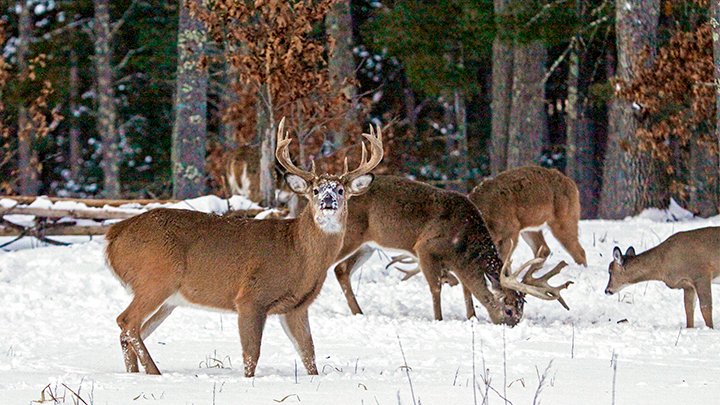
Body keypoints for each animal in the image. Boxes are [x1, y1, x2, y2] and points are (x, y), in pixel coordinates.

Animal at [104, 118, 382, 378]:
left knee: (131, 331)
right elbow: (252, 356)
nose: (327, 201)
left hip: (168, 298)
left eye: (340, 189)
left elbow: (308, 355)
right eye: (315, 190)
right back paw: (155, 373)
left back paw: (135, 374)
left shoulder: (296, 307)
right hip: (155, 278)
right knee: (126, 321)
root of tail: (113, 236)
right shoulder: (251, 298)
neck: (298, 252)